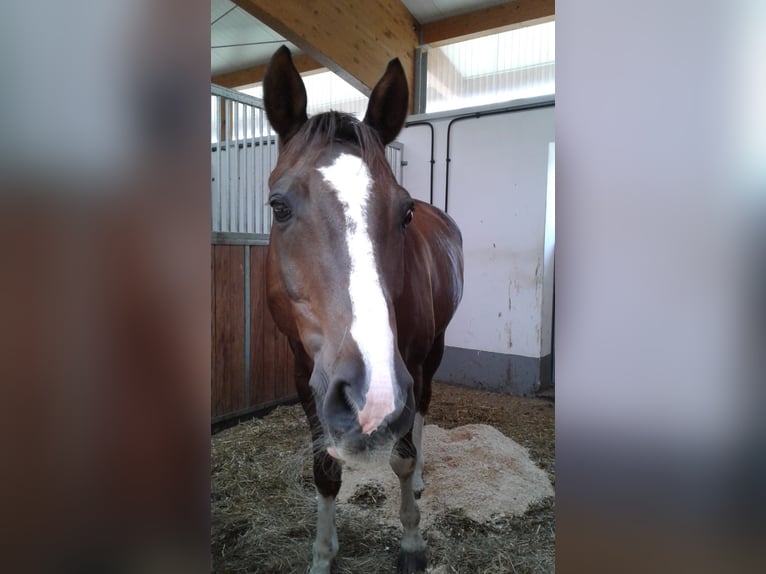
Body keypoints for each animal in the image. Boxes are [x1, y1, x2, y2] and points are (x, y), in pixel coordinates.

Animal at [262, 46, 464, 574]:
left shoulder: (408, 366)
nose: (370, 393)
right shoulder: (305, 373)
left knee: (422, 414)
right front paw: (322, 555)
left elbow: (403, 456)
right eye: (278, 206)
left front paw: (411, 542)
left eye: (405, 211)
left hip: (431, 353)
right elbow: (324, 468)